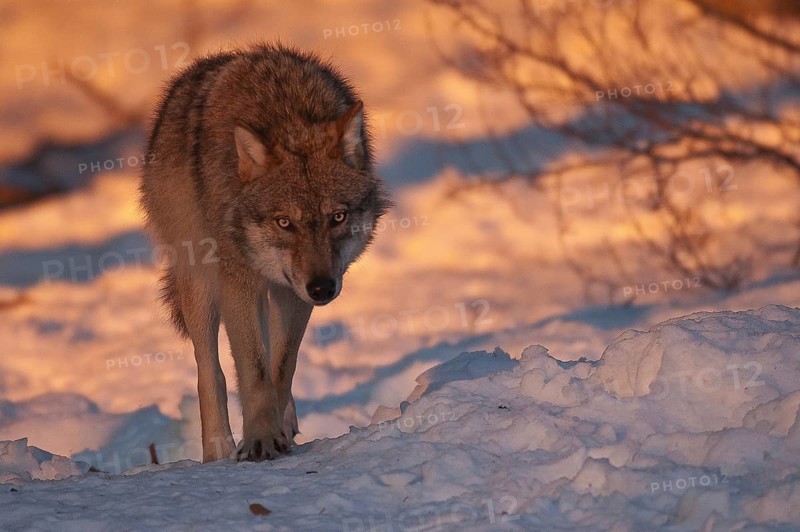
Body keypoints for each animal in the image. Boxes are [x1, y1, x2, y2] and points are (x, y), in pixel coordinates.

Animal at [140, 43, 391, 462]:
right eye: (284, 222)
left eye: (337, 217)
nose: (323, 289)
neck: (287, 112)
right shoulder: (238, 281)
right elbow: (253, 371)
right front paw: (259, 440)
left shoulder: (292, 291)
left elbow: (281, 366)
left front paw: (276, 430)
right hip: (200, 282)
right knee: (210, 372)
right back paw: (219, 451)